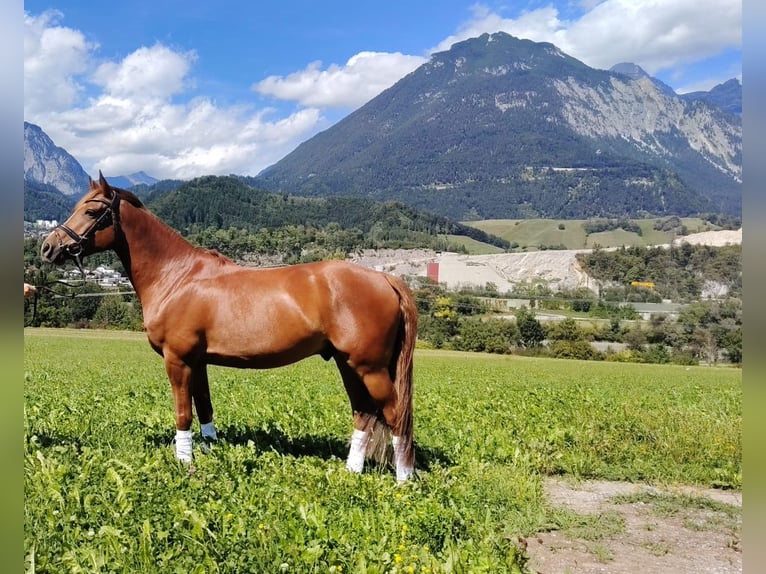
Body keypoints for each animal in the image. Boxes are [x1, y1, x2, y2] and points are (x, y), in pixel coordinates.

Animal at [40, 173, 417, 481]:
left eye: (92, 212)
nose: (48, 247)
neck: (178, 276)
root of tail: (385, 278)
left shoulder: (177, 360)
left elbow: (183, 413)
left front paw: (184, 463)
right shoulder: (197, 362)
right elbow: (205, 408)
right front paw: (209, 453)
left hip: (370, 367)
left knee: (395, 414)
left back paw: (403, 480)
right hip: (347, 363)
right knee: (364, 412)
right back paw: (351, 471)